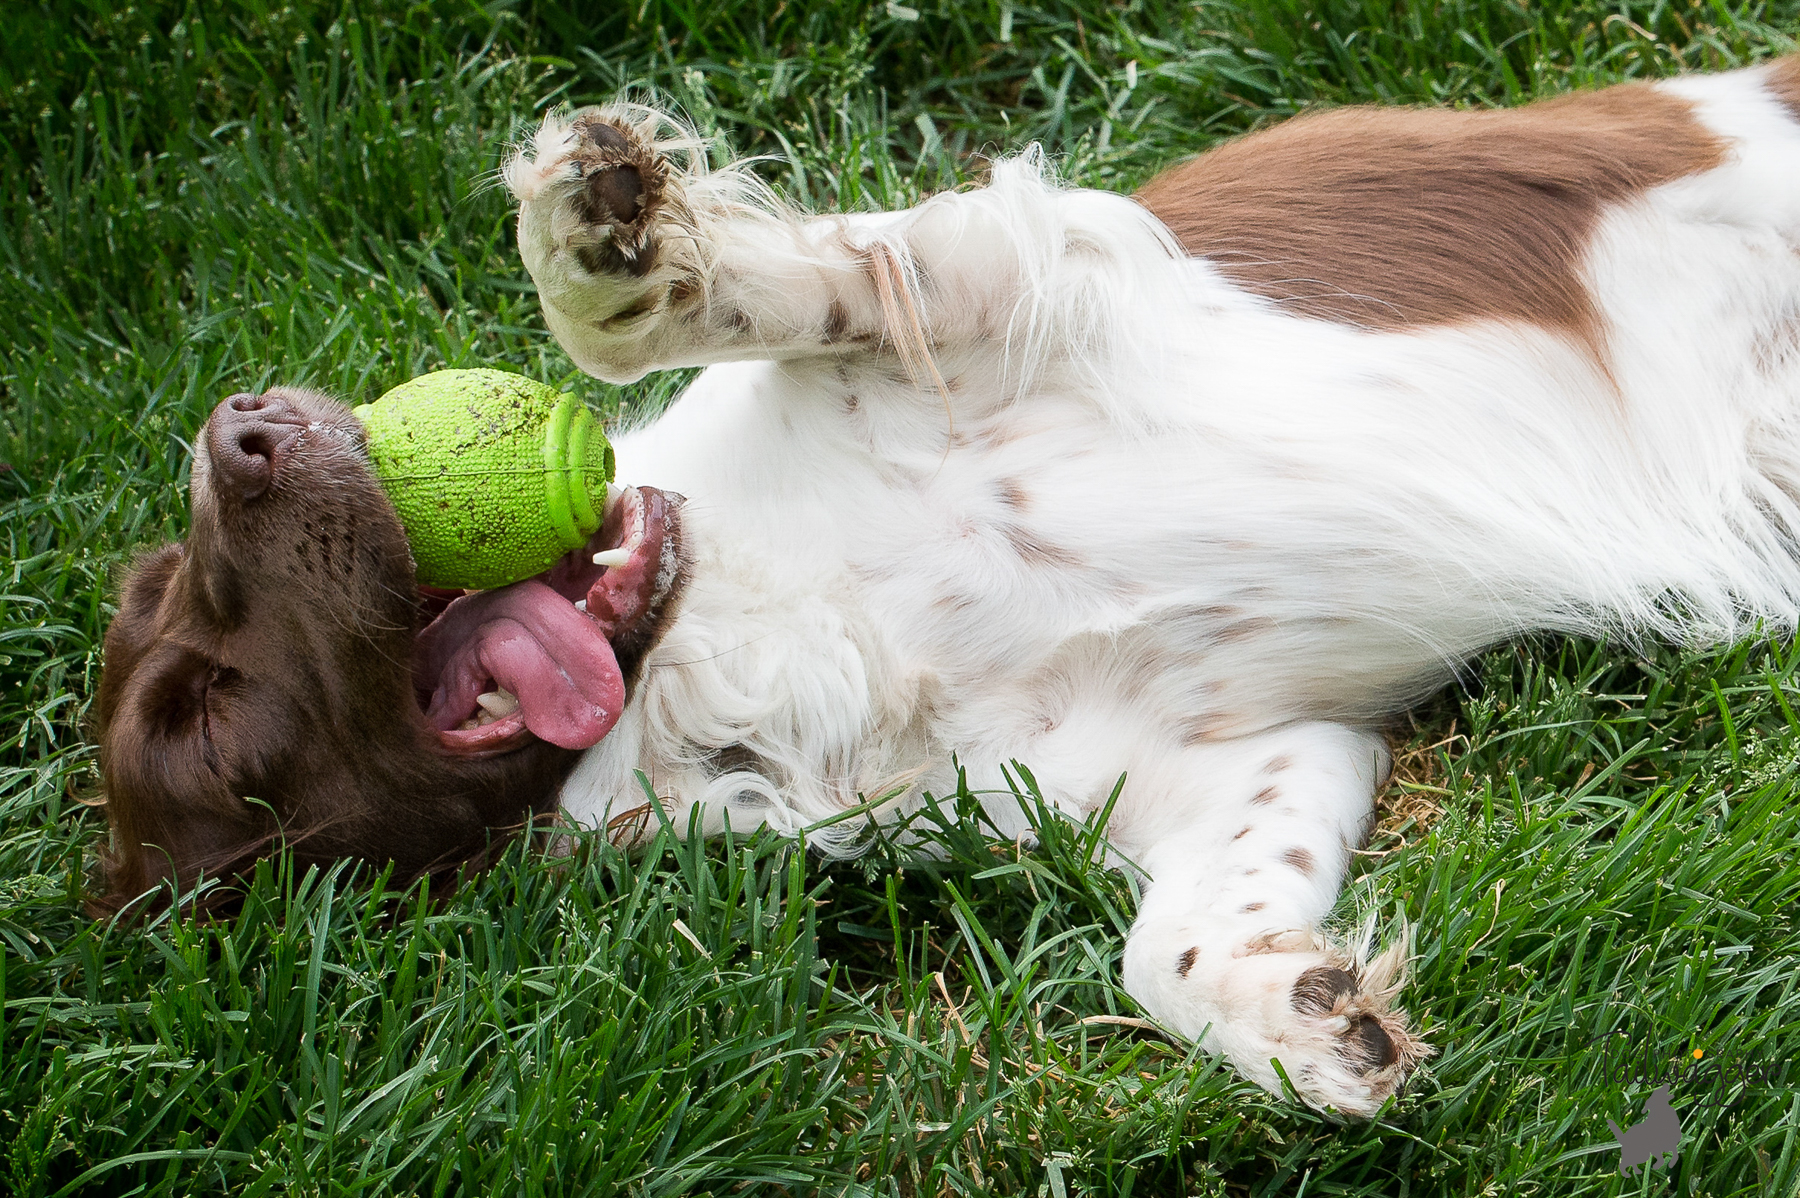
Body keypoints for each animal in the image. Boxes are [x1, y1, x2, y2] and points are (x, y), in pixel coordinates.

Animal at [94, 55, 1800, 1115]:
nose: (241, 430)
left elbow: (801, 286)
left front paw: (614, 234)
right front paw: (1302, 1018)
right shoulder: (1237, 756)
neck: (767, 628)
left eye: (178, 573)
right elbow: (1166, 946)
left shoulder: (1042, 271)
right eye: (206, 719)